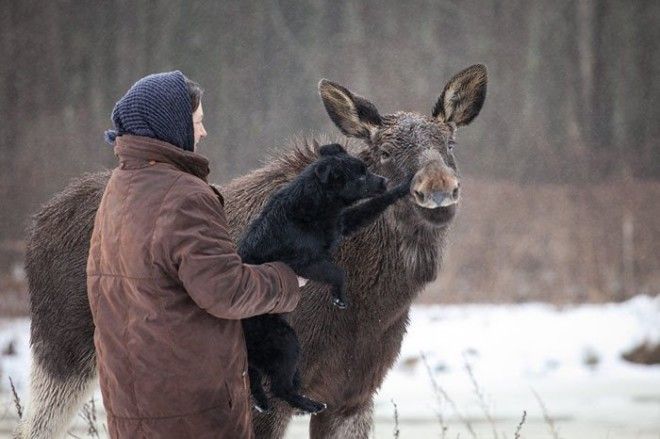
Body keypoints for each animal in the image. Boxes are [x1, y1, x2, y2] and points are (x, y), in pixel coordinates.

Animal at [237, 144, 412, 416]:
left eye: (367, 169)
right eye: (360, 176)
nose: (383, 181)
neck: (314, 204)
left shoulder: (342, 223)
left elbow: (374, 205)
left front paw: (404, 185)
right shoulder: (303, 264)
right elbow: (338, 272)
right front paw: (339, 297)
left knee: (256, 377)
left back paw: (263, 402)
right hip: (284, 341)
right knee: (280, 387)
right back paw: (309, 404)